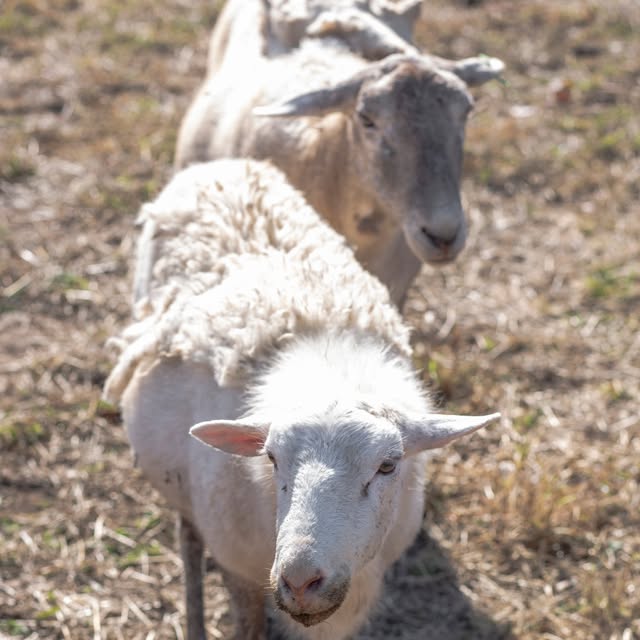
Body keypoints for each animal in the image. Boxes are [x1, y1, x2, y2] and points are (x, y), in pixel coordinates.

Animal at [104, 158, 499, 640]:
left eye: (388, 466)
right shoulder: (239, 568)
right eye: (272, 459)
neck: (329, 374)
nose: (301, 581)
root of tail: (222, 166)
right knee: (188, 535)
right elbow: (247, 625)